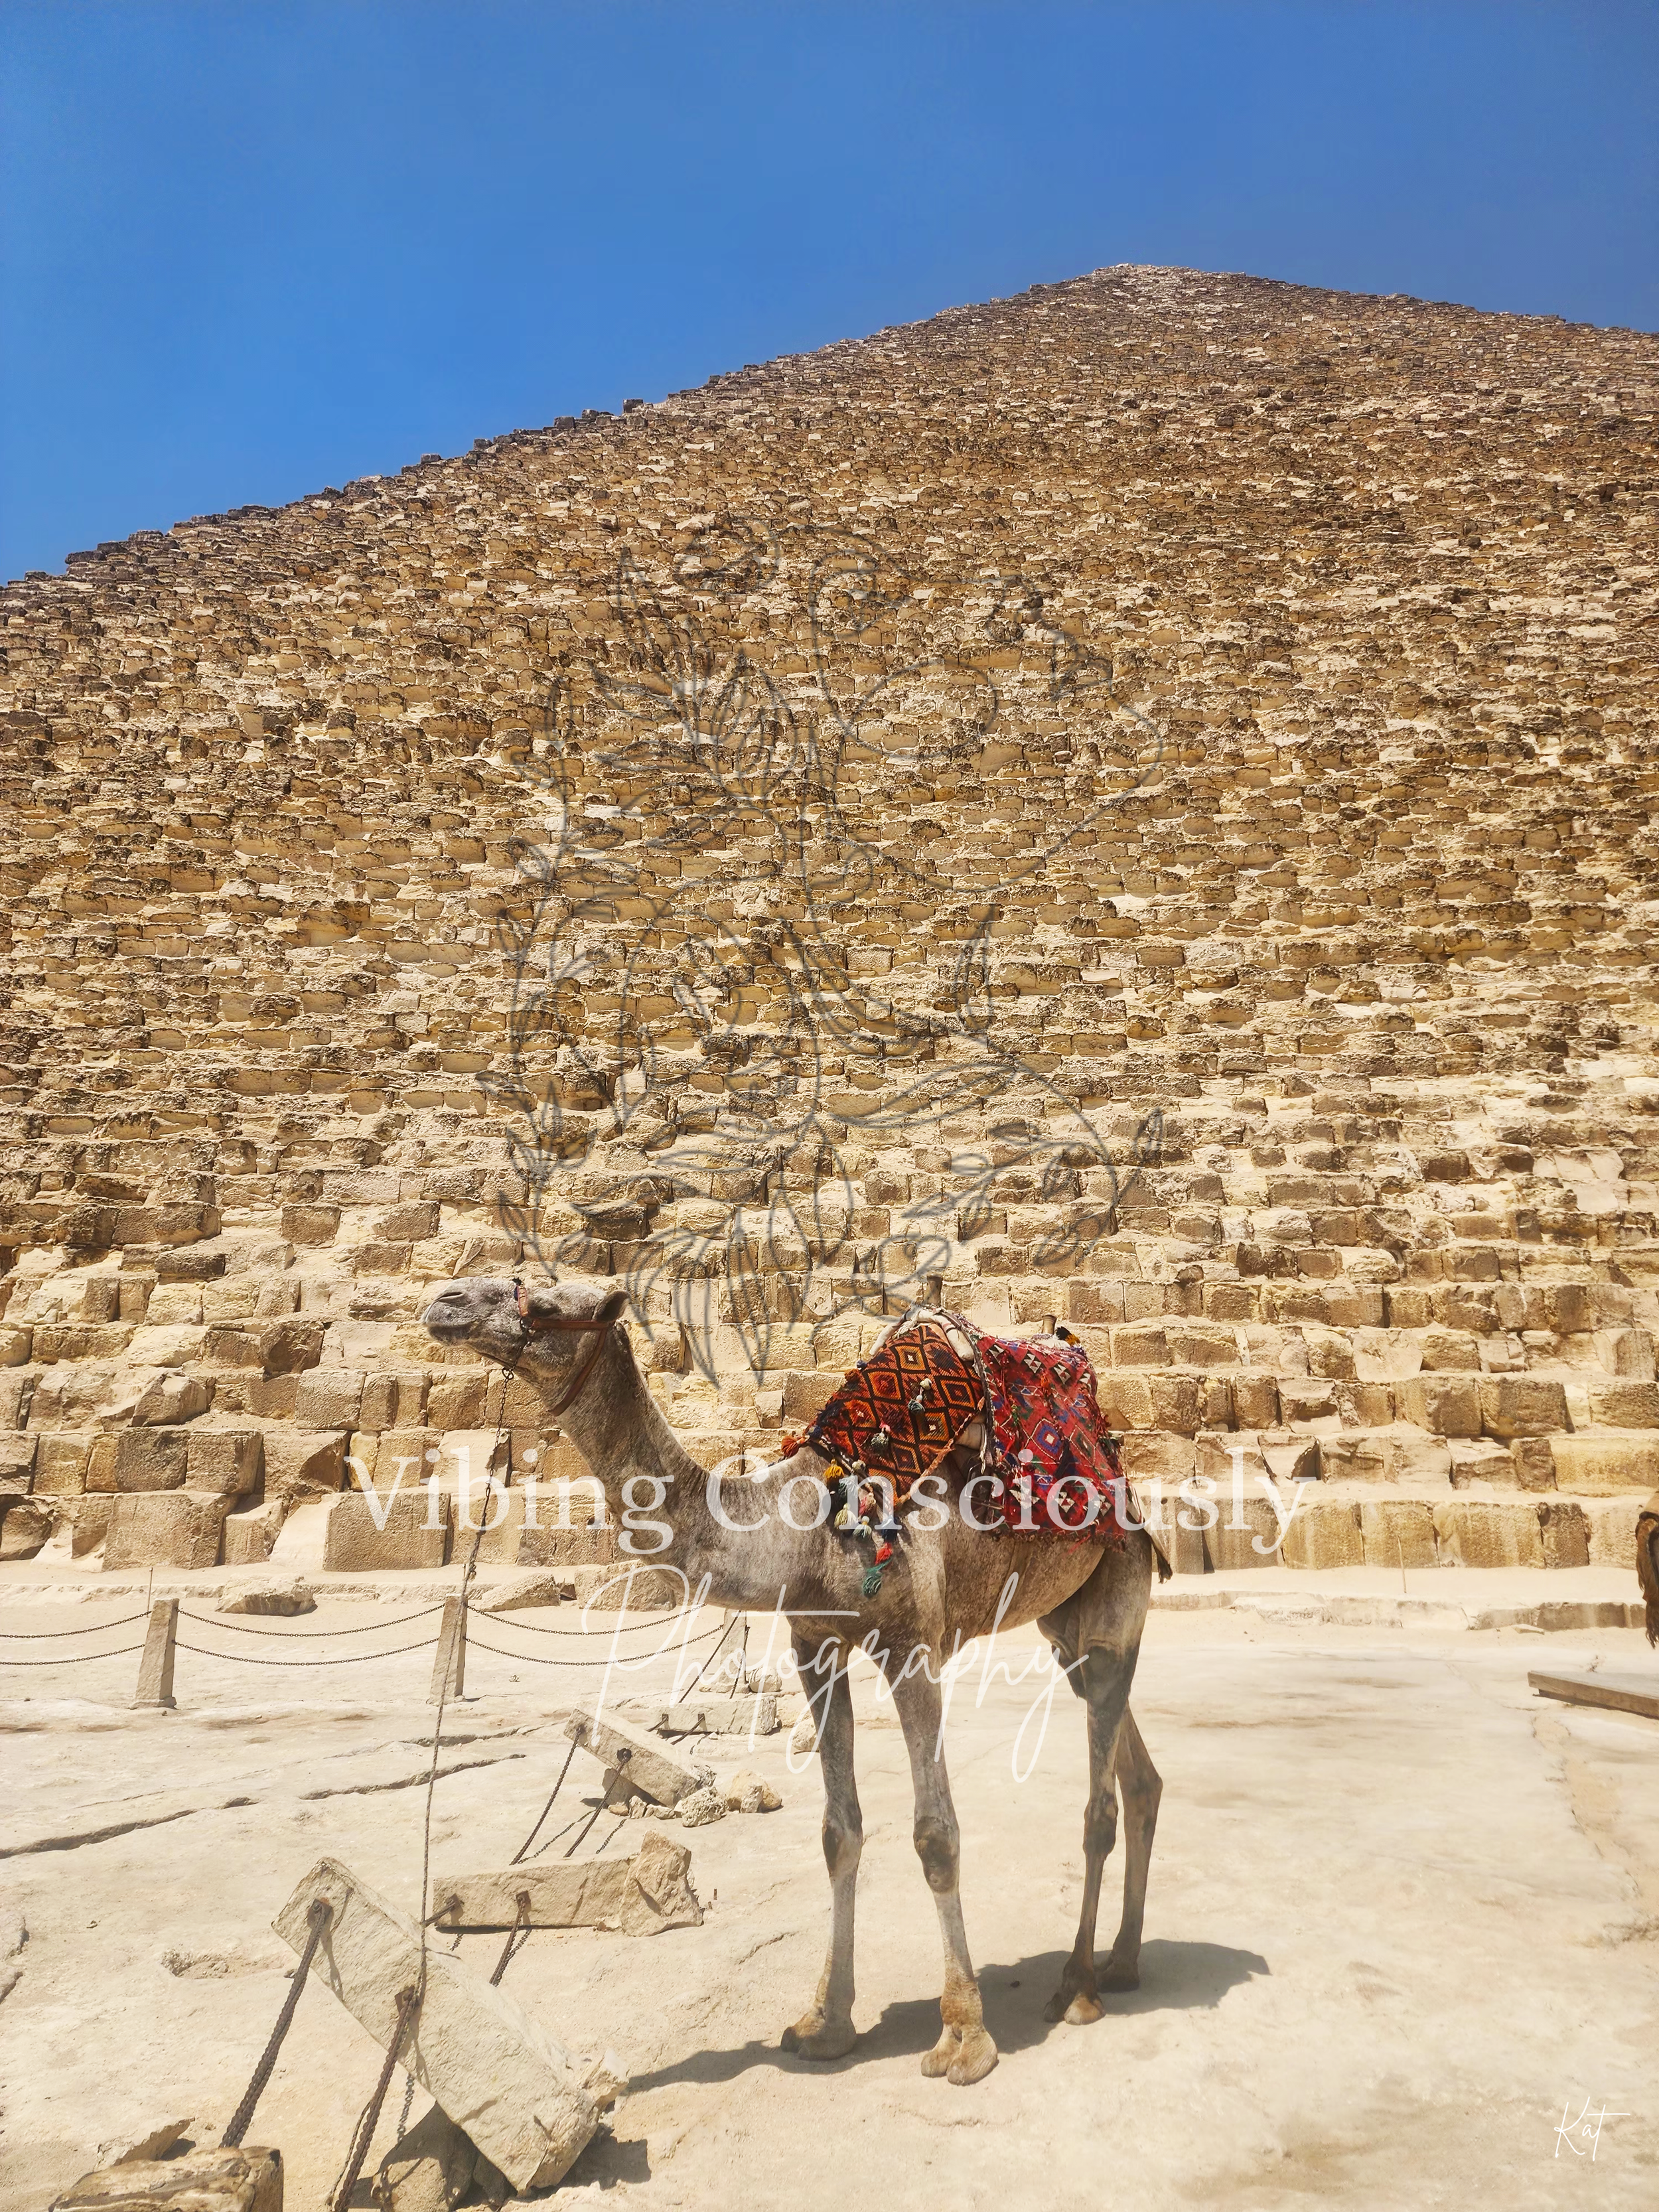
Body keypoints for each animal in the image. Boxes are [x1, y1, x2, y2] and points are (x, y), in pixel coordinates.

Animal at [423, 1275, 1163, 2086]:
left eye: (545, 1305)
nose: (445, 1302)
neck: (802, 1525)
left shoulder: (912, 1645)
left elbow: (935, 1834)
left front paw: (964, 2035)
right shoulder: (814, 1644)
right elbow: (839, 1831)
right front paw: (824, 2023)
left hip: (1117, 1586)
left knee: (1099, 1802)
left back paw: (1079, 1984)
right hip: (1065, 1630)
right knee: (1136, 1774)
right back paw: (1124, 1961)